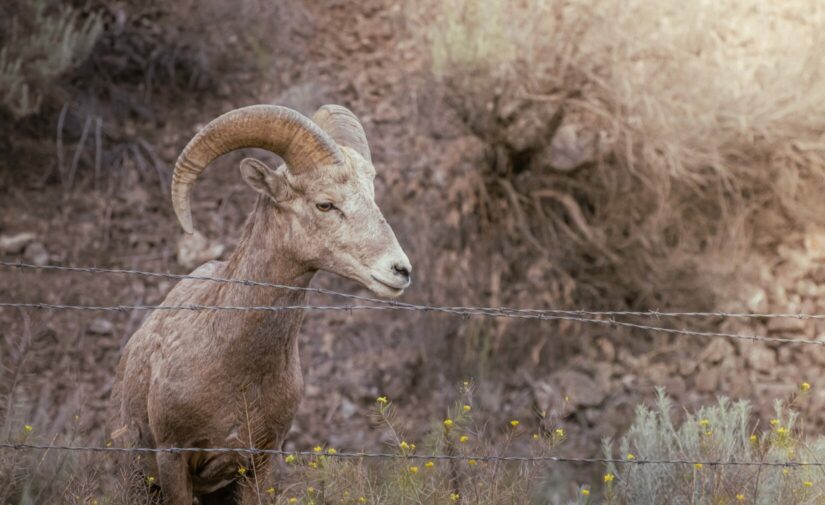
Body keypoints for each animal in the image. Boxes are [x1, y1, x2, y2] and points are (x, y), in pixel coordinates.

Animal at [112, 104, 412, 502]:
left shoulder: (261, 464)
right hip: (138, 479)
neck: (235, 368)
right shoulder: (172, 459)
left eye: (372, 195)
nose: (400, 270)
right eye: (325, 204)